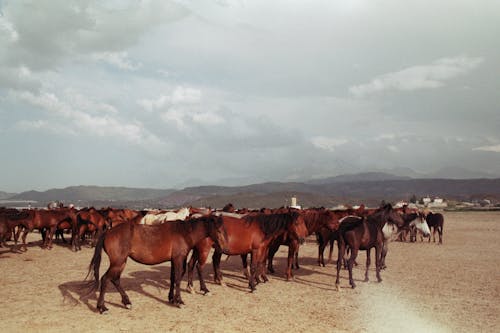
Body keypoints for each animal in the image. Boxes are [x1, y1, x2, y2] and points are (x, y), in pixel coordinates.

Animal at [86, 214, 229, 312]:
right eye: (219, 231)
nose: (224, 248)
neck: (183, 233)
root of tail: (108, 232)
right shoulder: (178, 259)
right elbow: (177, 279)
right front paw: (179, 301)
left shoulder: (173, 260)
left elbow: (173, 278)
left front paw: (171, 298)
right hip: (118, 262)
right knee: (105, 279)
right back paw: (102, 307)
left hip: (121, 262)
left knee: (115, 280)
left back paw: (127, 302)